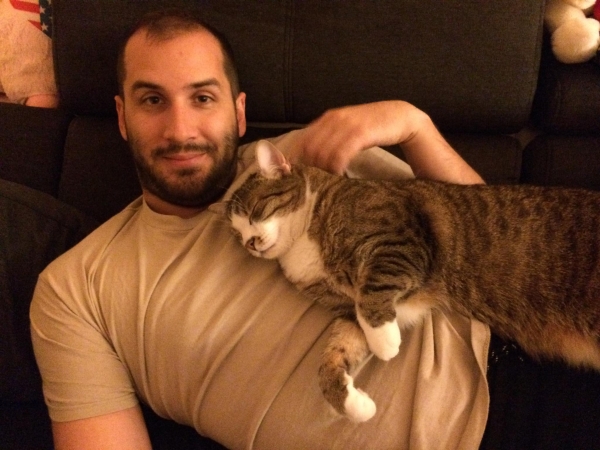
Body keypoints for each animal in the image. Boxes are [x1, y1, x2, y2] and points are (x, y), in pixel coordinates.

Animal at [226, 140, 600, 422]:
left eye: (255, 212)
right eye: (237, 233)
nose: (250, 244)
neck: (302, 244)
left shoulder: (401, 242)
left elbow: (372, 294)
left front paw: (386, 343)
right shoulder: (346, 312)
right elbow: (333, 357)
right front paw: (355, 406)